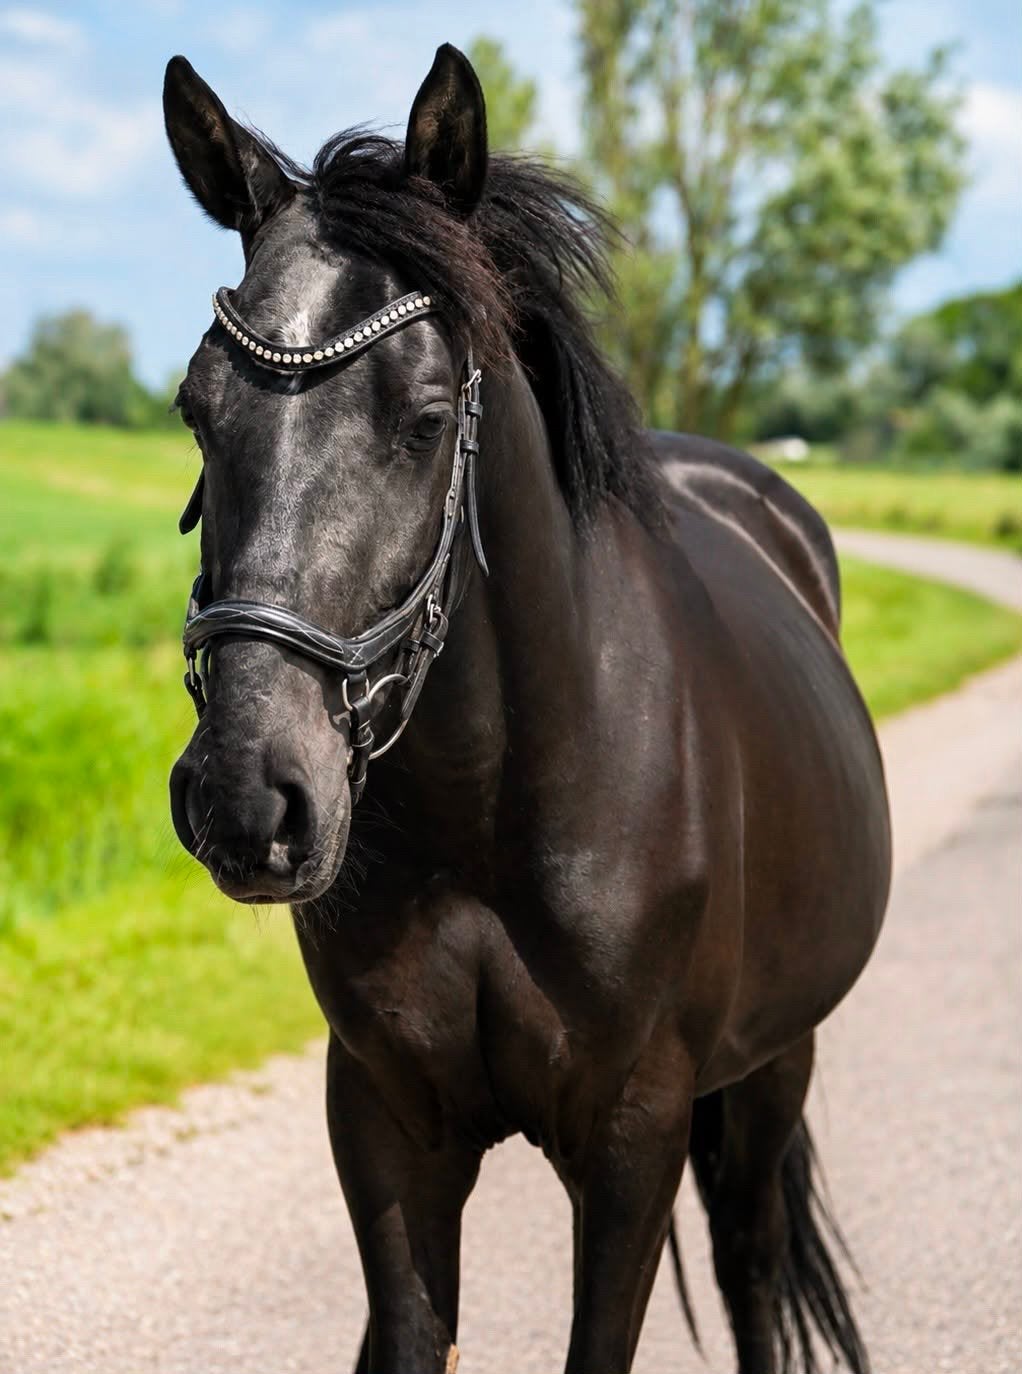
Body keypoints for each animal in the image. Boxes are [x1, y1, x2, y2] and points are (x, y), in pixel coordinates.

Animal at [164, 44, 890, 1374]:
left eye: (423, 419)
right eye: (196, 410)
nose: (247, 797)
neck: (491, 809)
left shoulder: (631, 1133)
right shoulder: (385, 1119)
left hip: (775, 1065)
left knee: (753, 1264)